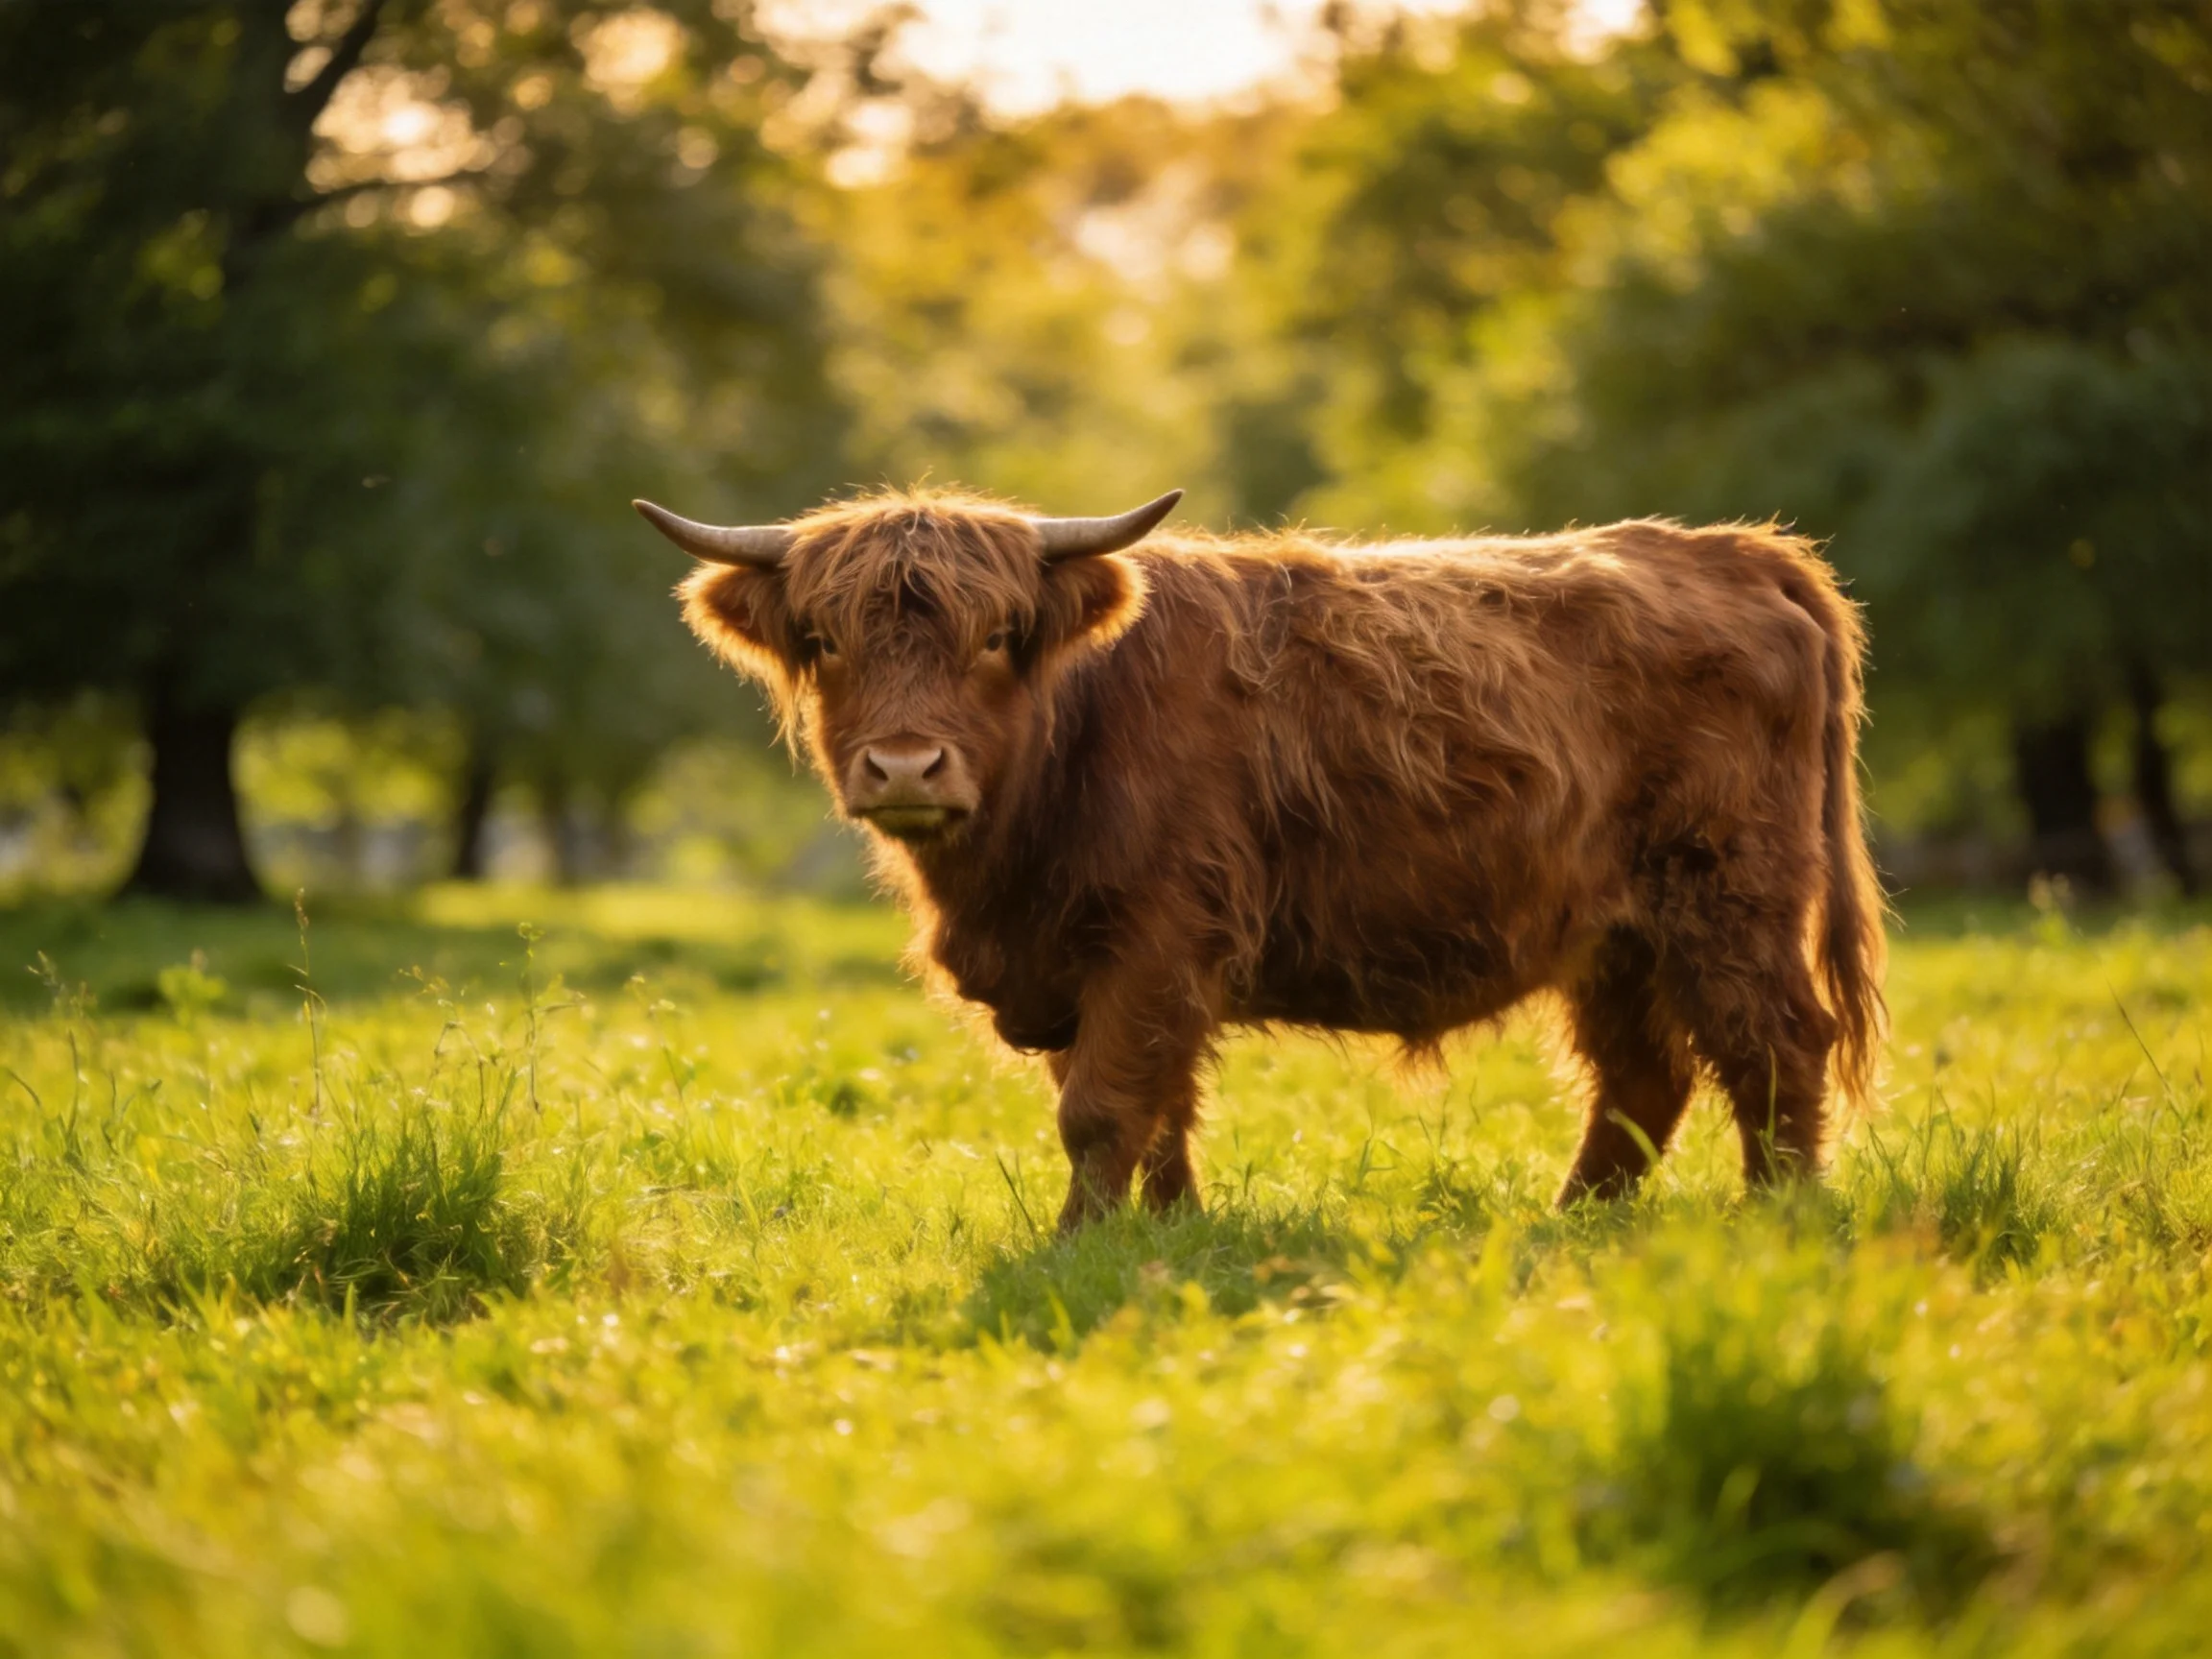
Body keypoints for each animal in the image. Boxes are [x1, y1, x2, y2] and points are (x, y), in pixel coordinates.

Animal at [636, 487, 1886, 1232]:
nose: (905, 766)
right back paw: (1571, 1224)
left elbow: (1102, 1108)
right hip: (1613, 933)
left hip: (1728, 893)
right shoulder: (1093, 963)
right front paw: (1167, 1231)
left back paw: (1782, 1216)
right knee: (1640, 1076)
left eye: (997, 637)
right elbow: (1156, 1108)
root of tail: (1729, 550)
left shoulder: (1158, 937)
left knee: (1774, 1045)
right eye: (824, 640)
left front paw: (1076, 1245)